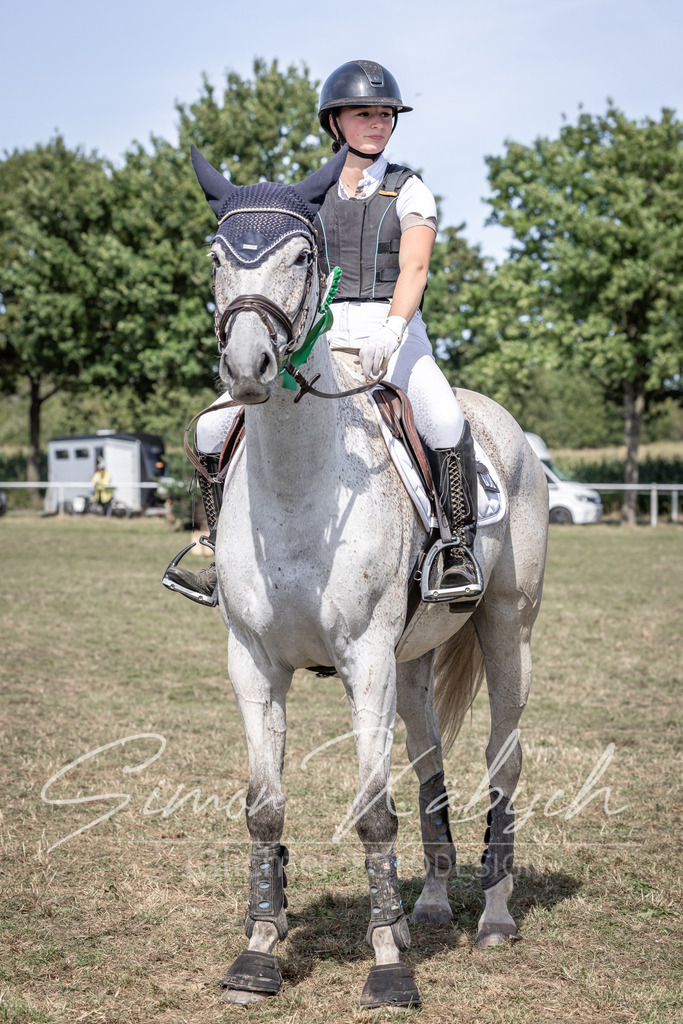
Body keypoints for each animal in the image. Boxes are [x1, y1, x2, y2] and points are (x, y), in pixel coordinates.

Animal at [187, 144, 548, 1009]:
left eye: (300, 256)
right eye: (216, 257)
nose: (247, 367)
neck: (297, 484)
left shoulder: (365, 659)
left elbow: (372, 813)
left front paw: (386, 970)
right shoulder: (253, 662)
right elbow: (264, 807)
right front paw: (258, 951)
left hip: (504, 630)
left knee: (502, 759)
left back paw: (492, 914)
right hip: (414, 661)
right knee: (430, 765)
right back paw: (429, 907)